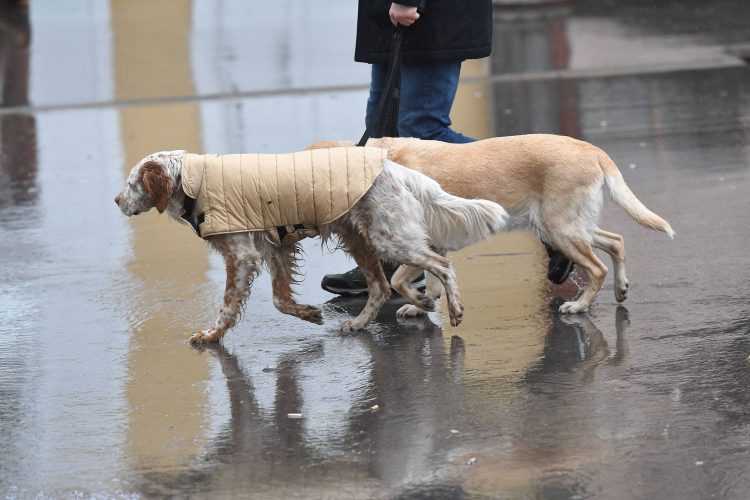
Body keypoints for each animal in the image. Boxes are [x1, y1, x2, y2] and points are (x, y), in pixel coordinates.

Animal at [113, 148, 512, 344]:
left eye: (132, 184)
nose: (116, 200)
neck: (192, 179)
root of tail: (395, 168)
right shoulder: (276, 248)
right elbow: (280, 300)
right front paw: (310, 314)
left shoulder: (242, 256)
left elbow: (227, 307)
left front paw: (211, 336)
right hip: (361, 238)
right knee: (384, 286)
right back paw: (386, 314)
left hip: (388, 238)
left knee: (439, 264)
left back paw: (453, 309)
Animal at [306, 136, 676, 316]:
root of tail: (593, 149)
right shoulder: (431, 244)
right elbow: (434, 280)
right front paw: (427, 304)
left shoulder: (418, 244)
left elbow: (399, 280)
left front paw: (424, 303)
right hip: (566, 226)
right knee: (616, 241)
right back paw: (621, 288)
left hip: (561, 228)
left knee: (598, 268)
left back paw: (580, 306)